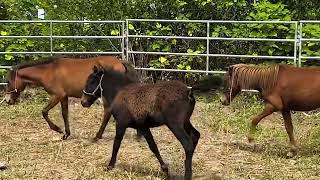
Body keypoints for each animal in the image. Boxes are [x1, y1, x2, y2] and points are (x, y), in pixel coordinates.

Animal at [4, 55, 138, 140]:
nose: (7, 100)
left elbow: (44, 112)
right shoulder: (64, 97)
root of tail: (120, 62)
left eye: (8, 82)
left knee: (108, 112)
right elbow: (65, 114)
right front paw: (66, 134)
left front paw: (58, 129)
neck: (48, 72)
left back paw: (97, 135)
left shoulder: (57, 95)